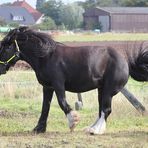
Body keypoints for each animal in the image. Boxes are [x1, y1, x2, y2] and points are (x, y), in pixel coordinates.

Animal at [0, 26, 147, 134]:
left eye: (7, 47)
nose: (1, 69)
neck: (46, 56)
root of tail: (126, 61)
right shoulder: (47, 87)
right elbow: (45, 107)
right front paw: (39, 129)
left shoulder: (58, 84)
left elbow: (62, 103)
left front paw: (73, 121)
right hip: (101, 90)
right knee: (101, 109)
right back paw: (90, 128)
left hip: (108, 90)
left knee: (106, 109)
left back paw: (95, 130)